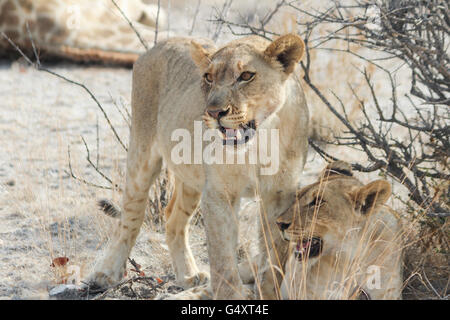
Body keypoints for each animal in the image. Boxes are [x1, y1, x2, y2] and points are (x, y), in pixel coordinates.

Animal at [89, 33, 312, 298]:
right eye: (208, 77)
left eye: (246, 75)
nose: (214, 112)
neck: (260, 142)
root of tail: (162, 42)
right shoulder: (218, 192)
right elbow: (222, 255)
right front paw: (231, 295)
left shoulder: (280, 195)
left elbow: (274, 255)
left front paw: (268, 291)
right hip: (141, 154)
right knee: (130, 218)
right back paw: (105, 274)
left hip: (191, 178)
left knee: (173, 219)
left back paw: (189, 275)